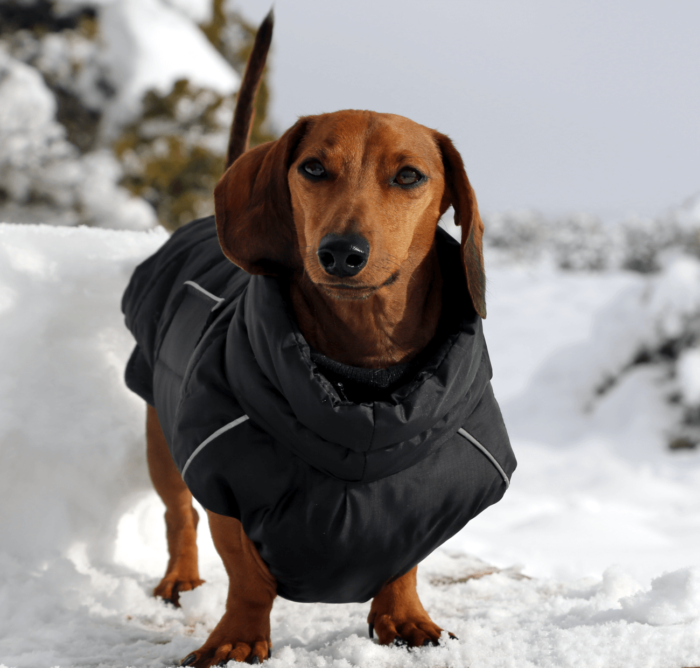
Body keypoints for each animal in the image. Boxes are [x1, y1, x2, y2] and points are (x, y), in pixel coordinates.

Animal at [144, 10, 486, 668]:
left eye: (410, 175)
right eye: (313, 168)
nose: (341, 253)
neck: (363, 366)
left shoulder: (421, 500)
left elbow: (405, 558)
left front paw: (403, 617)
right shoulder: (228, 479)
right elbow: (245, 572)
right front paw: (237, 637)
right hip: (161, 431)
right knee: (178, 514)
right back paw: (180, 578)